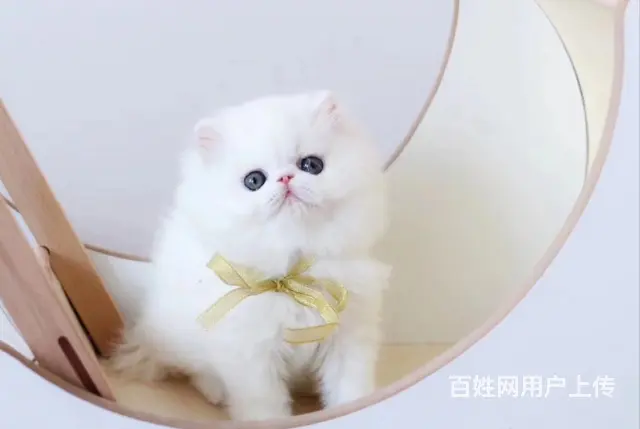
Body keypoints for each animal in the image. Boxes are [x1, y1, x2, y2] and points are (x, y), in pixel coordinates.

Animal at [110, 90, 392, 421]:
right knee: (196, 371)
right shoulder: (253, 358)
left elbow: (350, 390)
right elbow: (265, 407)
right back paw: (216, 392)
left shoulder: (349, 337)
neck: (291, 276)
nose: (286, 178)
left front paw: (356, 411)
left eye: (311, 164)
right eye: (254, 180)